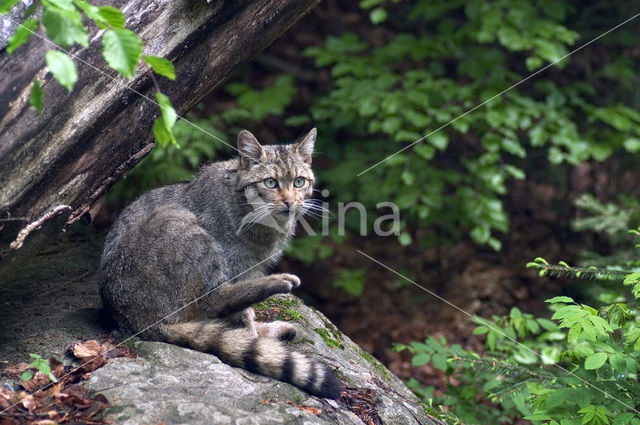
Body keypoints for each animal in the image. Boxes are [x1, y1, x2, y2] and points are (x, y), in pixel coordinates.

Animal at [97, 128, 342, 398]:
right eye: (270, 182)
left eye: (299, 181)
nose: (289, 201)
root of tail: (139, 323)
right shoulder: (233, 267)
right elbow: (240, 317)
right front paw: (255, 341)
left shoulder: (247, 270)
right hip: (184, 227)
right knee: (215, 301)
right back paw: (276, 286)